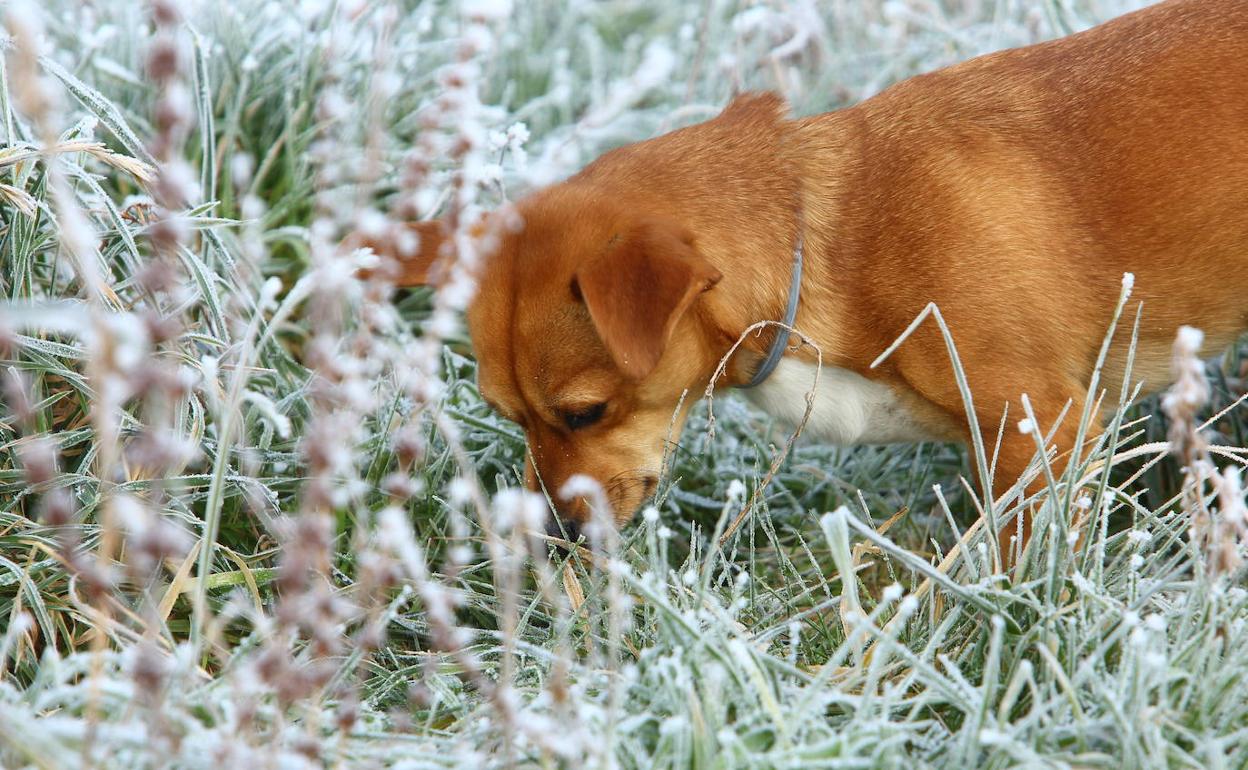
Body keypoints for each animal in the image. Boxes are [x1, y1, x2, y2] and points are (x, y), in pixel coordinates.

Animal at [361, 0, 1248, 564]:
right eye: (506, 415)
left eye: (586, 412)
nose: (549, 540)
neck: (824, 236)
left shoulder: (1047, 435)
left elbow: (1012, 571)